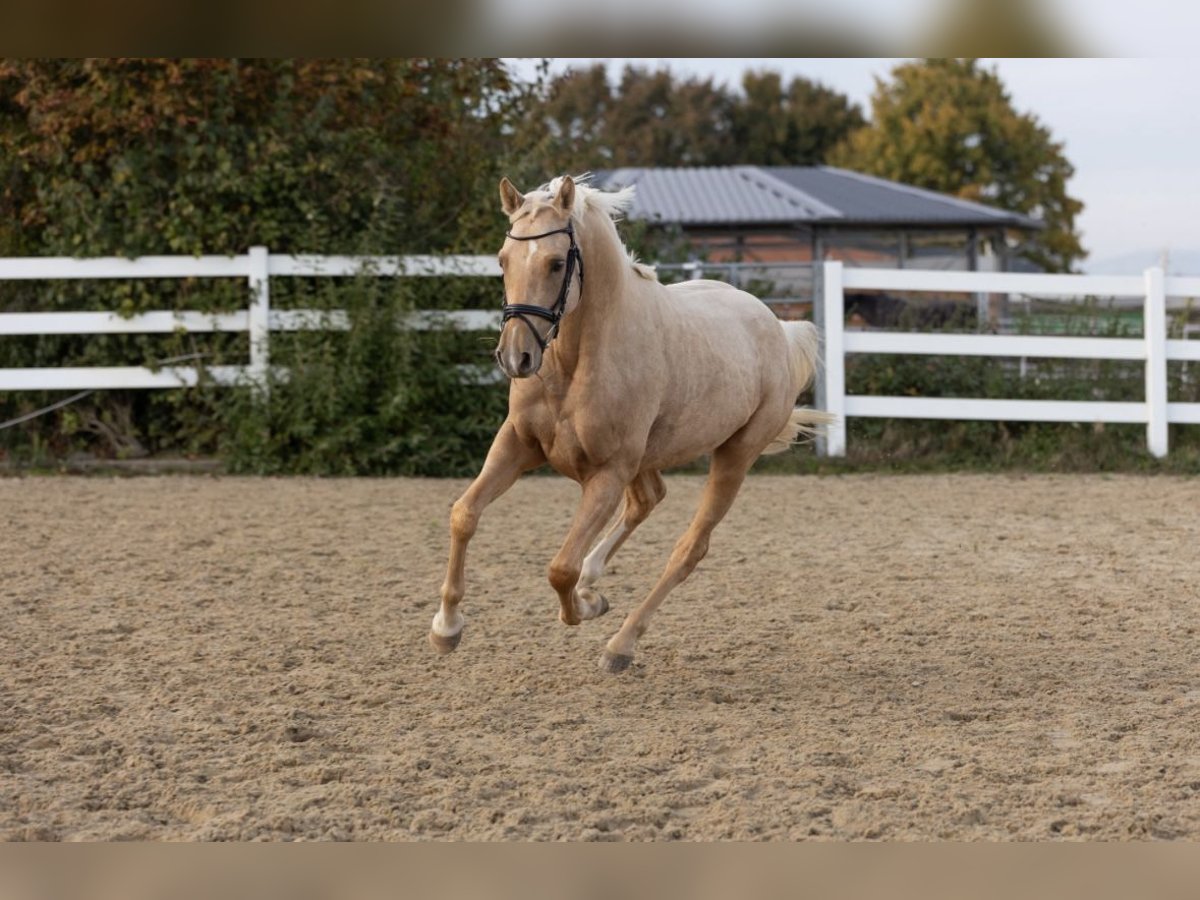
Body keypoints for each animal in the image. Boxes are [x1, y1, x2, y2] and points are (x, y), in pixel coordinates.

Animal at [434, 176, 835, 672]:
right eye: (503, 260)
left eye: (556, 263)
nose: (515, 358)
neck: (577, 362)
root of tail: (778, 329)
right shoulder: (517, 445)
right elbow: (464, 514)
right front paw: (446, 628)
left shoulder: (606, 474)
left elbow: (559, 568)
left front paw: (584, 609)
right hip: (649, 458)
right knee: (648, 500)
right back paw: (594, 589)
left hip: (734, 457)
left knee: (688, 549)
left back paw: (619, 644)